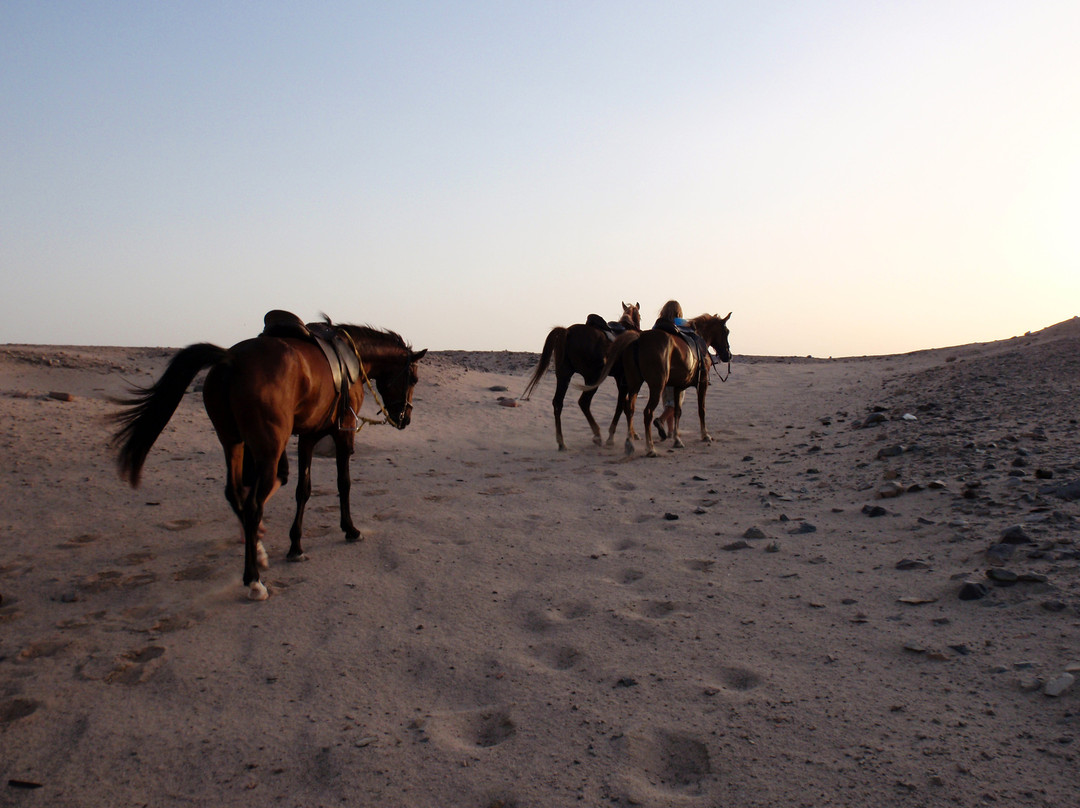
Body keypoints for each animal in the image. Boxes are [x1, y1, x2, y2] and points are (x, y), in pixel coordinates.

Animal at [109, 315, 427, 600]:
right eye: (413, 378)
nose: (405, 418)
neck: (351, 358)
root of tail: (230, 359)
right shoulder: (342, 433)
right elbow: (343, 483)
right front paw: (350, 529)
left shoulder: (308, 436)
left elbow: (303, 490)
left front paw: (296, 545)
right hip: (270, 448)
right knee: (252, 504)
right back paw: (254, 580)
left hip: (233, 442)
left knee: (235, 492)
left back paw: (258, 552)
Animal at [521, 302, 641, 451]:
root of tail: (567, 332)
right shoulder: (623, 380)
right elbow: (623, 406)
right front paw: (614, 437)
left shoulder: (620, 380)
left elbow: (625, 406)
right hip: (592, 378)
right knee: (583, 402)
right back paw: (597, 435)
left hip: (564, 376)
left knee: (558, 403)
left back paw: (561, 442)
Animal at [589, 313, 731, 457]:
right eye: (726, 331)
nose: (728, 355)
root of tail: (638, 338)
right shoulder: (702, 383)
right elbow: (701, 409)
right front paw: (705, 435)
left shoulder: (678, 387)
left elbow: (677, 412)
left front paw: (677, 439)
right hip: (656, 387)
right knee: (647, 412)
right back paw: (650, 448)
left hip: (634, 385)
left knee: (629, 409)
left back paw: (630, 442)